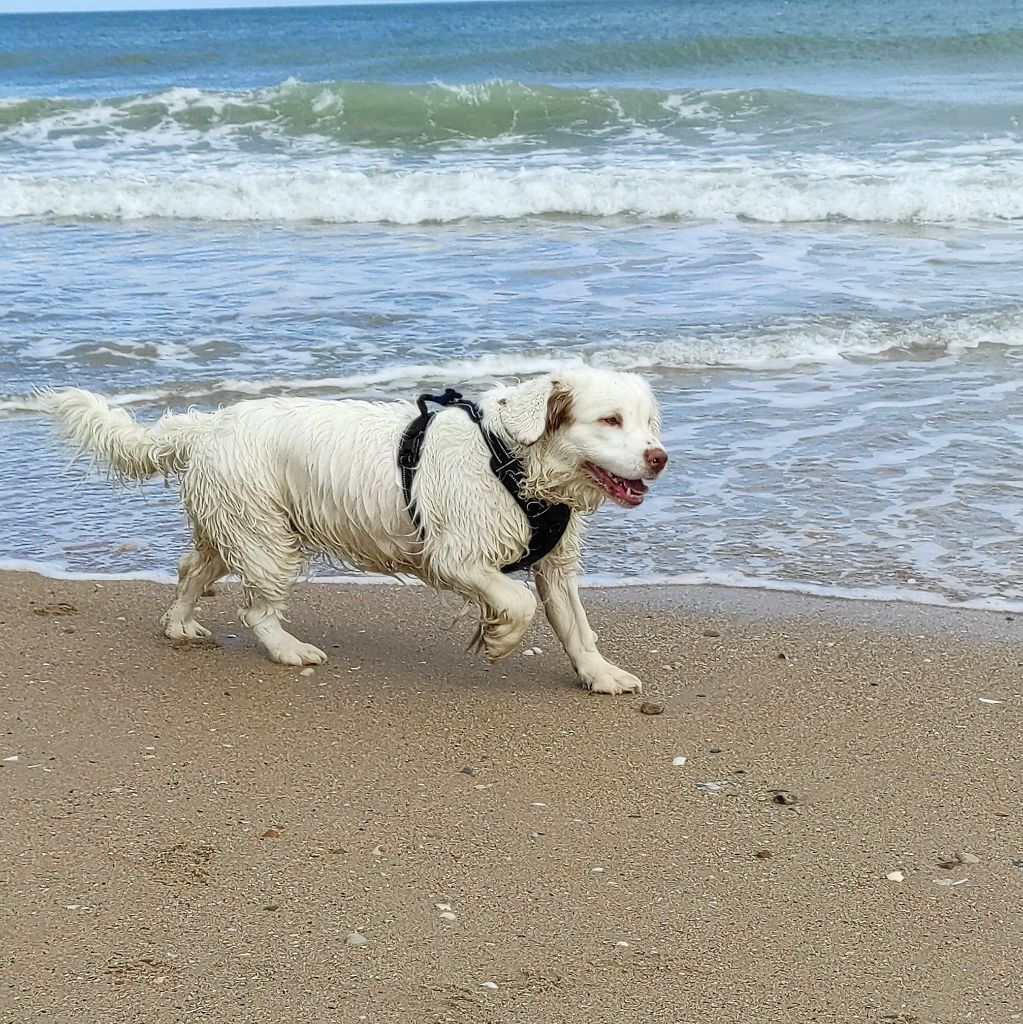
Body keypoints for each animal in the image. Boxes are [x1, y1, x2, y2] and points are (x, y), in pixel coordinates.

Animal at [39, 368, 667, 696]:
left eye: (648, 422)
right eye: (609, 420)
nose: (660, 457)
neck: (509, 457)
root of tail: (206, 426)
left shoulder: (554, 564)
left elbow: (576, 628)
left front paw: (601, 675)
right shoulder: (457, 556)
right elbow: (516, 601)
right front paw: (498, 640)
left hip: (235, 522)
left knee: (192, 568)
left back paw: (180, 625)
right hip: (268, 540)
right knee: (256, 609)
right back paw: (289, 651)